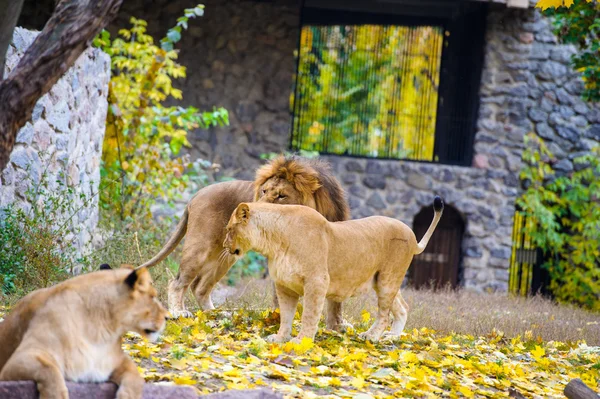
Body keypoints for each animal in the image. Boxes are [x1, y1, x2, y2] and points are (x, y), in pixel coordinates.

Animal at [0, 264, 166, 398]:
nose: (168, 317)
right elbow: (49, 371)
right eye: (153, 296)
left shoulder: (116, 360)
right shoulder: (19, 361)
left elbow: (137, 377)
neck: (101, 330)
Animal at [138, 155, 350, 326]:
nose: (252, 210)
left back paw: (216, 314)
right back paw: (178, 312)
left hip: (226, 255)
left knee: (199, 287)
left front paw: (338, 326)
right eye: (263, 191)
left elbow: (336, 301)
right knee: (178, 282)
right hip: (200, 247)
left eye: (282, 196)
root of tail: (197, 193)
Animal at [223, 197, 442, 344]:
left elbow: (309, 314)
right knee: (402, 307)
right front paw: (280, 338)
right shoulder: (284, 285)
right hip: (382, 282)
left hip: (388, 279)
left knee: (384, 314)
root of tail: (412, 236)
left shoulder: (317, 280)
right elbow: (285, 315)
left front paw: (301, 341)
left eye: (229, 229)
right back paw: (391, 337)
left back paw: (370, 336)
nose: (224, 245)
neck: (273, 243)